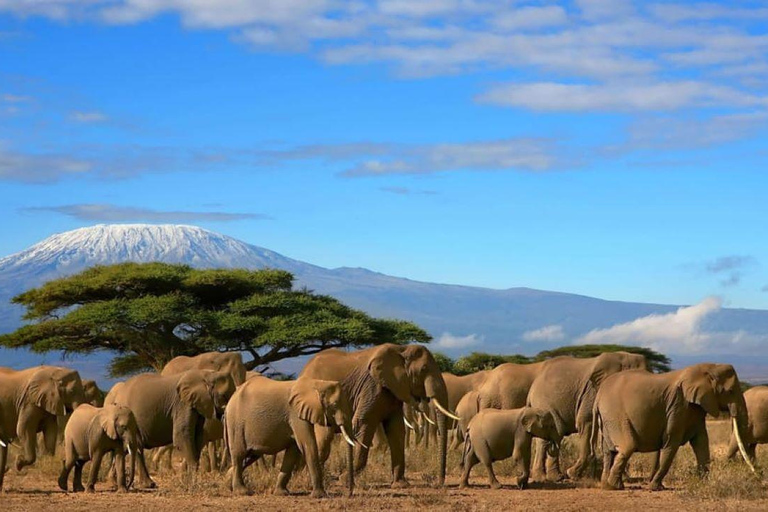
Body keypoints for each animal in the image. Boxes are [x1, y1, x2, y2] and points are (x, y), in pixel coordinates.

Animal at [103, 368, 234, 488]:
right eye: (223, 396)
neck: (207, 374)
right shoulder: (182, 404)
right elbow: (181, 435)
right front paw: (192, 484)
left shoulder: (197, 405)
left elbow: (198, 437)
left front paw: (188, 480)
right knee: (137, 447)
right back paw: (147, 484)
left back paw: (114, 483)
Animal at [224, 374, 358, 498]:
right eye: (334, 405)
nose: (349, 493)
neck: (317, 384)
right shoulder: (296, 414)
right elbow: (308, 445)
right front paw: (320, 495)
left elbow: (293, 451)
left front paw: (282, 493)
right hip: (236, 423)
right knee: (239, 455)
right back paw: (242, 492)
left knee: (250, 456)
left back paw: (228, 484)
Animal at [298, 342, 456, 486]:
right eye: (423, 369)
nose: (438, 483)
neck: (401, 349)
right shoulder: (372, 387)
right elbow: (364, 424)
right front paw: (344, 480)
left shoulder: (393, 390)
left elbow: (397, 430)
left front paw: (400, 484)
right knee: (324, 438)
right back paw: (309, 479)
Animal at [524, 352, 644, 480]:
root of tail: (532, 387)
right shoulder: (592, 392)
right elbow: (586, 422)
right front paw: (572, 474)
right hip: (543, 403)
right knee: (547, 437)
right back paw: (544, 477)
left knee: (556, 435)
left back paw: (555, 477)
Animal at [592, 362, 752, 490]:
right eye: (730, 391)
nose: (756, 474)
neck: (709, 368)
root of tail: (598, 396)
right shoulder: (678, 405)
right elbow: (671, 443)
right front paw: (655, 488)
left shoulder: (695, 408)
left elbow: (701, 442)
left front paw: (703, 485)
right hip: (615, 414)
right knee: (627, 446)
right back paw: (613, 486)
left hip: (607, 419)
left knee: (609, 451)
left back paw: (607, 486)